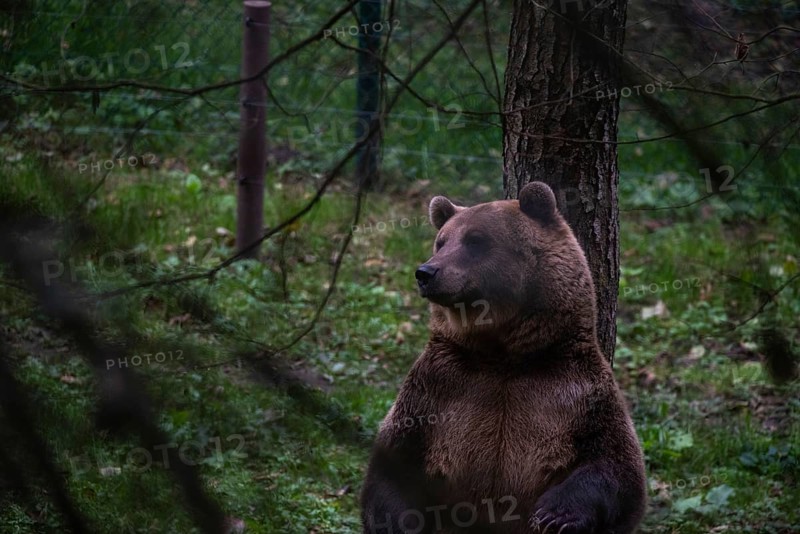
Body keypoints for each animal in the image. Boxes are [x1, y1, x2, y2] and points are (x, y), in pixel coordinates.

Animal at [361, 182, 646, 533]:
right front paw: (399, 522)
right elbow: (393, 462)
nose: (425, 272)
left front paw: (555, 514)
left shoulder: (577, 391)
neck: (504, 356)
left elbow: (617, 466)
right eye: (441, 241)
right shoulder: (435, 389)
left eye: (475, 240)